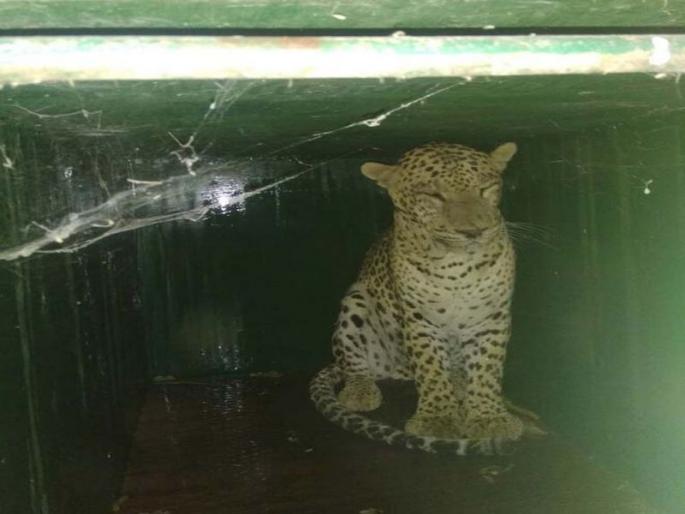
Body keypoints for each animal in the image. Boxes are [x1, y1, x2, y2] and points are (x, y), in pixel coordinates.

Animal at [310, 141, 530, 455]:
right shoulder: (419, 319)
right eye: (434, 196)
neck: (456, 267)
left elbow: (487, 367)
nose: (474, 232)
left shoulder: (491, 317)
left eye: (485, 189)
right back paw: (360, 391)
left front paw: (489, 417)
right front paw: (437, 419)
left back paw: (460, 385)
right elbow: (430, 368)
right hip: (356, 302)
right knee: (352, 362)